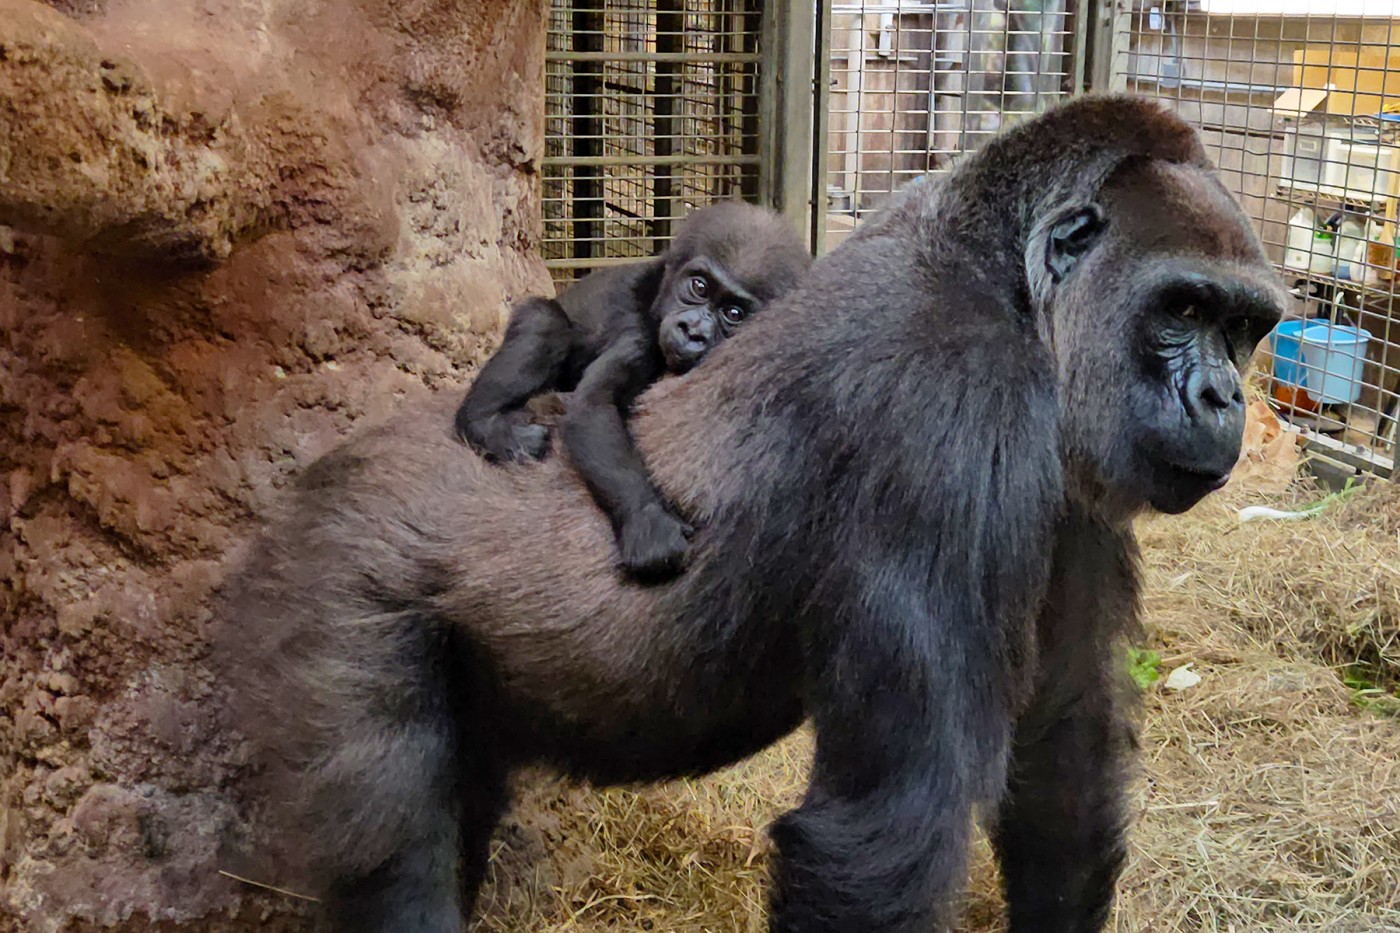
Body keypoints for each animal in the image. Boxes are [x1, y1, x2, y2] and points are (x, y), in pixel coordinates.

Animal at [459, 203, 812, 574]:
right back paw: (486, 424)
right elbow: (595, 406)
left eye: (734, 312)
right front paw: (648, 520)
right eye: (699, 286)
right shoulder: (638, 332)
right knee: (545, 322)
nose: (692, 331)